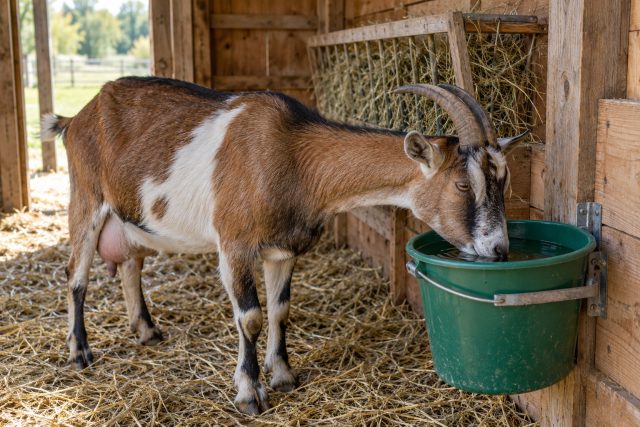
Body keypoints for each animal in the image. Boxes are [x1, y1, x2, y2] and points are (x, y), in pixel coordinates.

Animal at [43, 77, 527, 415]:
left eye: (504, 180)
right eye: (463, 184)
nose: (499, 250)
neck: (293, 156)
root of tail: (75, 119)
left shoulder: (282, 250)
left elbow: (280, 310)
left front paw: (283, 375)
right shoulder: (234, 244)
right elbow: (252, 316)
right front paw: (249, 393)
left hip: (129, 218)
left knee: (130, 264)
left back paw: (146, 331)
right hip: (87, 199)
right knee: (75, 275)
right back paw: (80, 352)